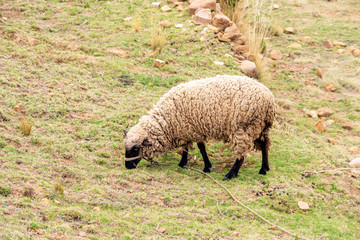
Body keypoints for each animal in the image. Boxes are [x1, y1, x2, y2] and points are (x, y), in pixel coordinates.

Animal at [123, 75, 276, 180]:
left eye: (136, 148)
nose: (127, 166)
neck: (166, 122)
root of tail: (269, 100)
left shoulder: (193, 129)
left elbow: (200, 148)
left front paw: (206, 167)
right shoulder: (187, 130)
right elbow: (186, 147)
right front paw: (183, 163)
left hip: (243, 128)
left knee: (241, 155)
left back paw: (231, 174)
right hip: (260, 127)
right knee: (265, 145)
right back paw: (264, 169)